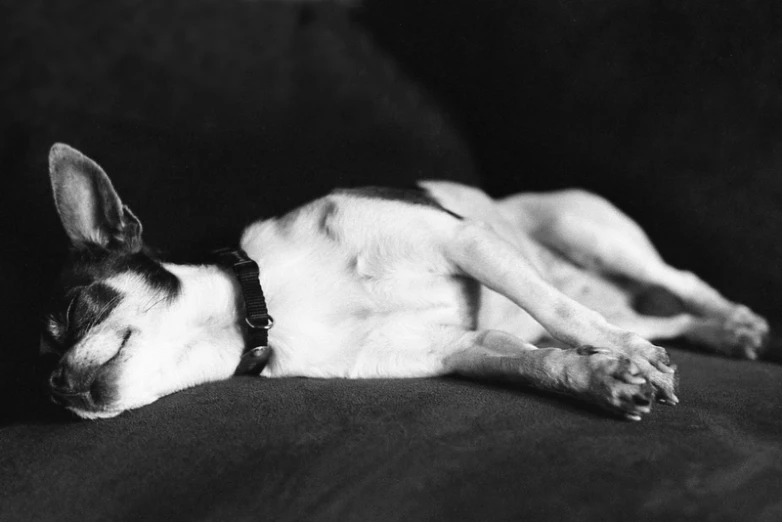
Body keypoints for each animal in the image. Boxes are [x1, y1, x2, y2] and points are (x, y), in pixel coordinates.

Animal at [39, 142, 768, 418]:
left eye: (71, 312)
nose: (56, 388)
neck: (273, 303)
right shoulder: (463, 350)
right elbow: (542, 362)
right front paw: (602, 377)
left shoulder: (463, 239)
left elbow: (557, 313)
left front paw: (623, 359)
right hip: (625, 292)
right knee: (664, 316)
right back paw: (717, 338)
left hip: (585, 227)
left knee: (677, 281)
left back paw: (735, 320)